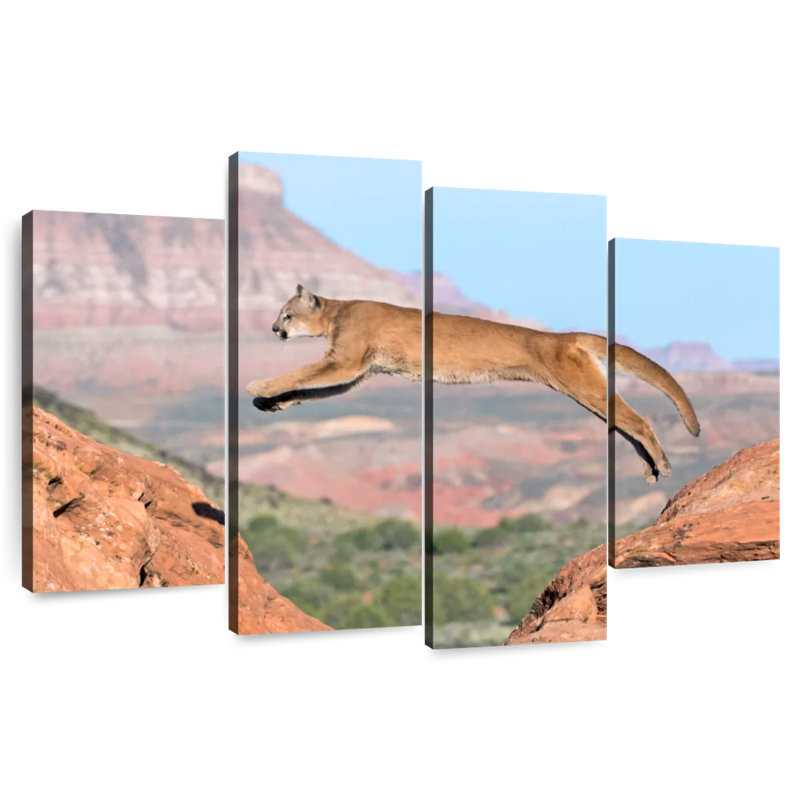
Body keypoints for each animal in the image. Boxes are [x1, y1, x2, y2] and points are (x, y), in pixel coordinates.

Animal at [246, 285, 700, 483]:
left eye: (286, 314)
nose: (272, 329)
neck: (337, 312)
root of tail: (563, 336)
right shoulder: (357, 372)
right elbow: (308, 389)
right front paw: (271, 403)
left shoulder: (344, 361)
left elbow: (299, 375)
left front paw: (256, 386)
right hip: (586, 392)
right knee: (625, 425)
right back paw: (650, 468)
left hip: (583, 387)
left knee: (638, 421)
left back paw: (662, 463)